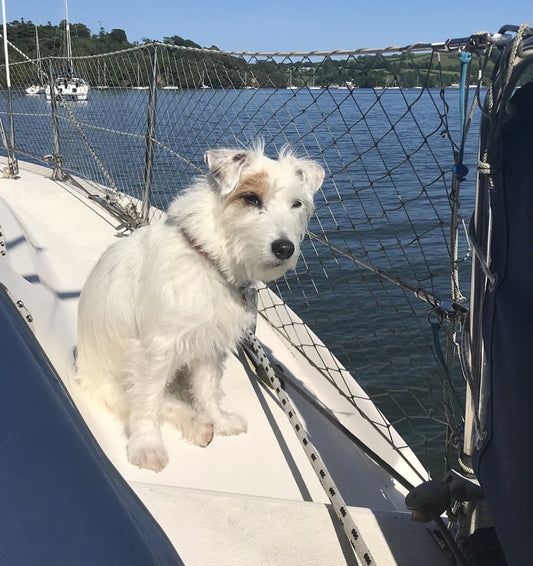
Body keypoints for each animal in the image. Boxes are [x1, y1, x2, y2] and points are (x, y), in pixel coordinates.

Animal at [76, 144, 322, 472]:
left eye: (297, 203)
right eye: (251, 198)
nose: (285, 248)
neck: (210, 258)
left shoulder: (208, 345)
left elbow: (206, 390)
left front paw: (219, 421)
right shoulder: (156, 349)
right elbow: (147, 403)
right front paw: (146, 446)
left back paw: (201, 424)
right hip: (111, 380)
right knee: (142, 398)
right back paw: (192, 424)